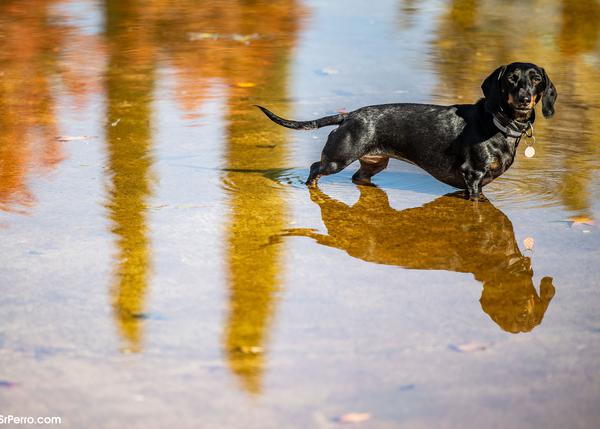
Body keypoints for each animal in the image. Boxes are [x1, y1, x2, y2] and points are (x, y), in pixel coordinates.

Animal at [258, 61, 556, 199]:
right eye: (511, 79)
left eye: (536, 79)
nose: (524, 99)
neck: (498, 123)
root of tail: (348, 116)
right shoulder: (473, 176)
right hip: (337, 159)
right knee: (314, 168)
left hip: (374, 163)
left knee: (358, 178)